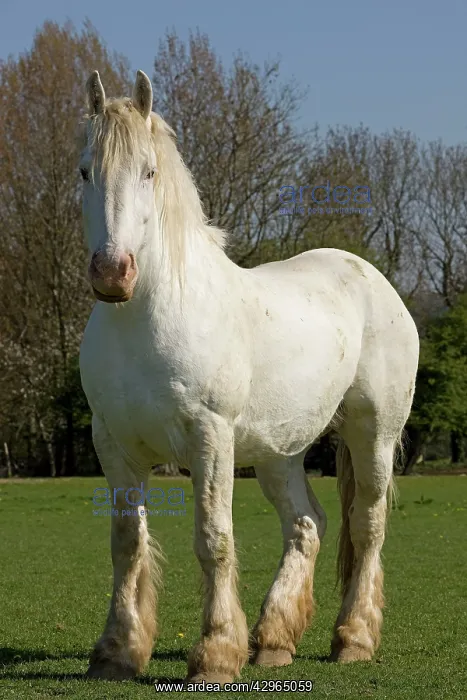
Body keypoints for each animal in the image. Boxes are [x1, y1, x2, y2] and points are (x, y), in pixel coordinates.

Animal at [78, 69, 419, 685]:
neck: (146, 322)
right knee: (307, 524)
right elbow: (126, 543)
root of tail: (370, 276)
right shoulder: (113, 444)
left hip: (373, 436)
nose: (113, 273)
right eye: (85, 170)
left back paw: (353, 638)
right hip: (278, 452)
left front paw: (215, 653)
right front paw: (117, 651)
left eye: (149, 171)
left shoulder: (210, 438)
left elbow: (213, 539)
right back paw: (273, 641)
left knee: (367, 525)